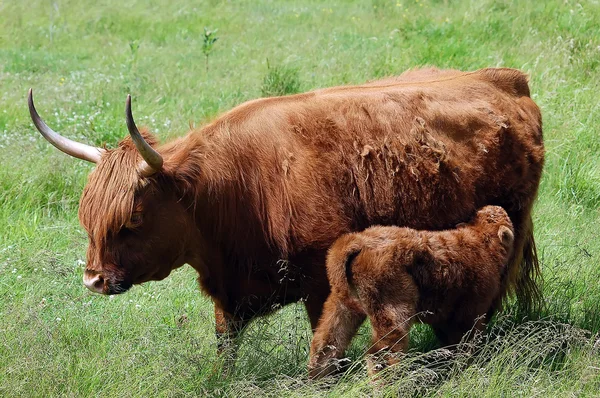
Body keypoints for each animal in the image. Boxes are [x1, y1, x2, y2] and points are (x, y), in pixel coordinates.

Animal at [312, 205, 512, 376]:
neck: (481, 239)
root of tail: (356, 242)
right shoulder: (471, 308)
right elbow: (465, 340)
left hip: (342, 304)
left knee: (326, 342)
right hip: (392, 304)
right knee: (381, 353)